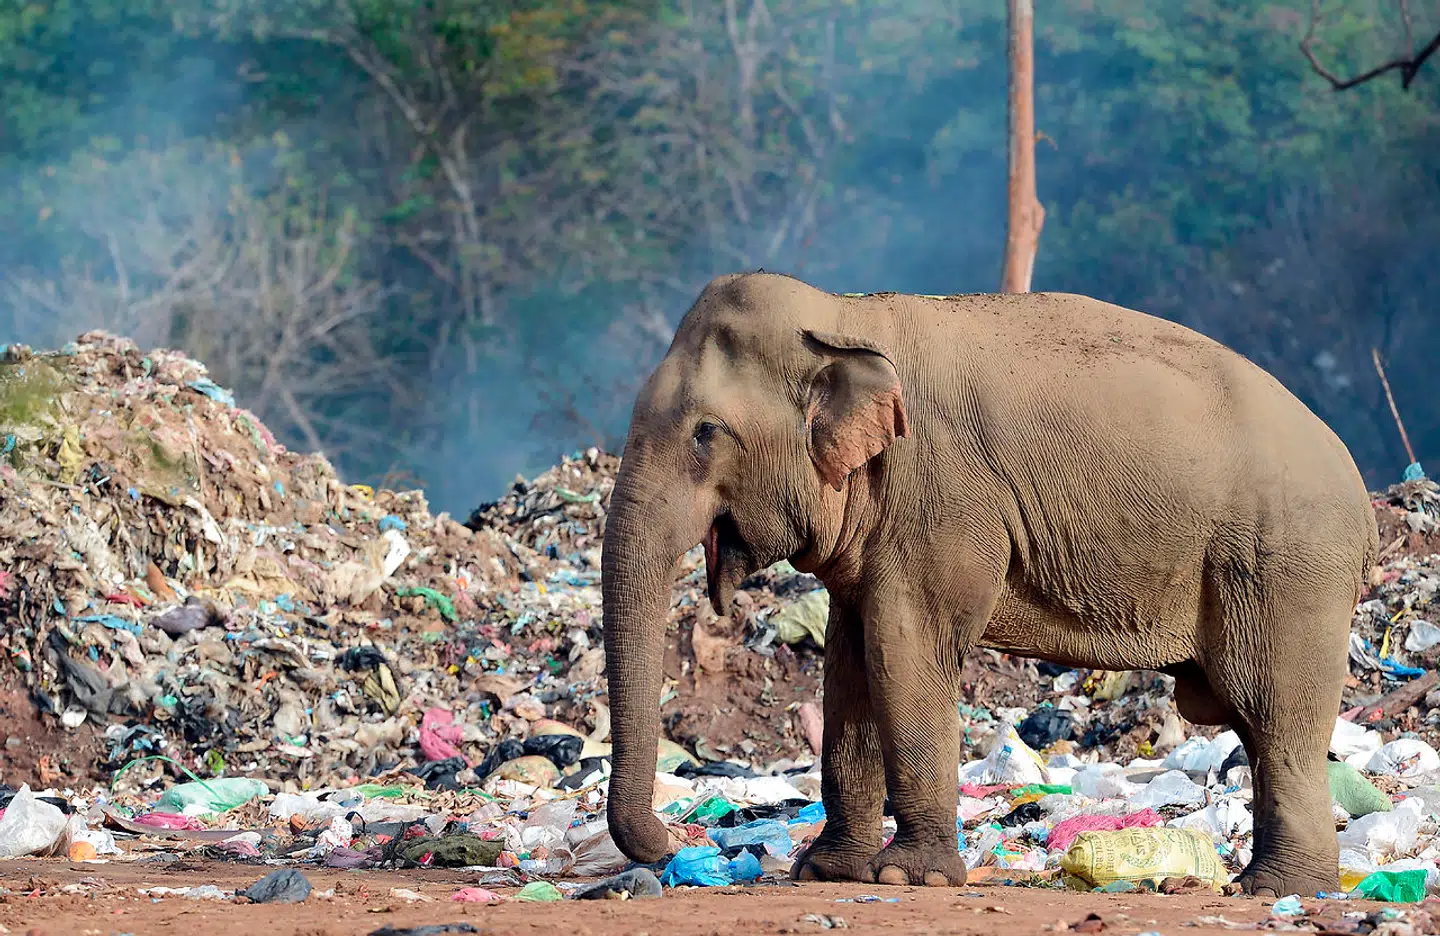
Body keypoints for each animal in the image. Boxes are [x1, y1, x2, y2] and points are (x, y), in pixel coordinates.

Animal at [599, 271, 1377, 897]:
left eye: (705, 433)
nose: (672, 846)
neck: (845, 315)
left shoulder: (938, 497)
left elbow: (904, 650)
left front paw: (907, 877)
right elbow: (850, 662)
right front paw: (825, 872)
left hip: (1285, 566)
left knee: (1273, 714)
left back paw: (1274, 889)